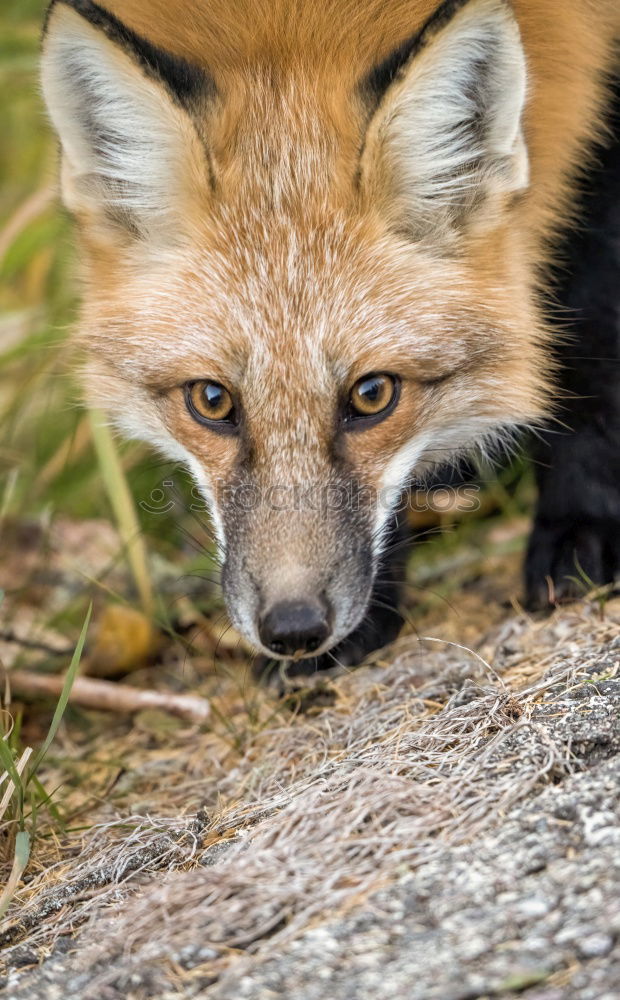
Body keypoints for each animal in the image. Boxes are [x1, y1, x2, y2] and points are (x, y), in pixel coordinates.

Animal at [41, 0, 620, 672]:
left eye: (373, 396)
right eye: (210, 401)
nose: (293, 628)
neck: (290, 20)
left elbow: (594, 337)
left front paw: (581, 532)